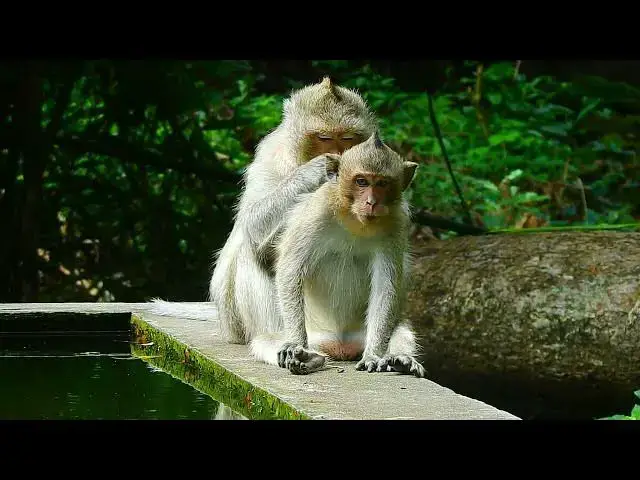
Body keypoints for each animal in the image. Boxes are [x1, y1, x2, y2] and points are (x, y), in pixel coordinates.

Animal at [149, 77, 379, 344]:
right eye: (324, 137)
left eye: (348, 137)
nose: (342, 156)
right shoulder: (272, 152)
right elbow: (254, 221)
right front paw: (316, 170)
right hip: (239, 322)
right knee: (252, 251)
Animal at [248, 131, 426, 378]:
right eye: (361, 181)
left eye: (382, 183)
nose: (372, 202)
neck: (354, 220)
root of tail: (340, 346)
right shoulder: (317, 210)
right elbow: (291, 270)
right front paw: (295, 344)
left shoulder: (396, 224)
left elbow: (385, 286)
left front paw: (374, 356)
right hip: (316, 338)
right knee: (264, 342)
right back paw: (307, 358)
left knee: (401, 331)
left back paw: (401, 359)